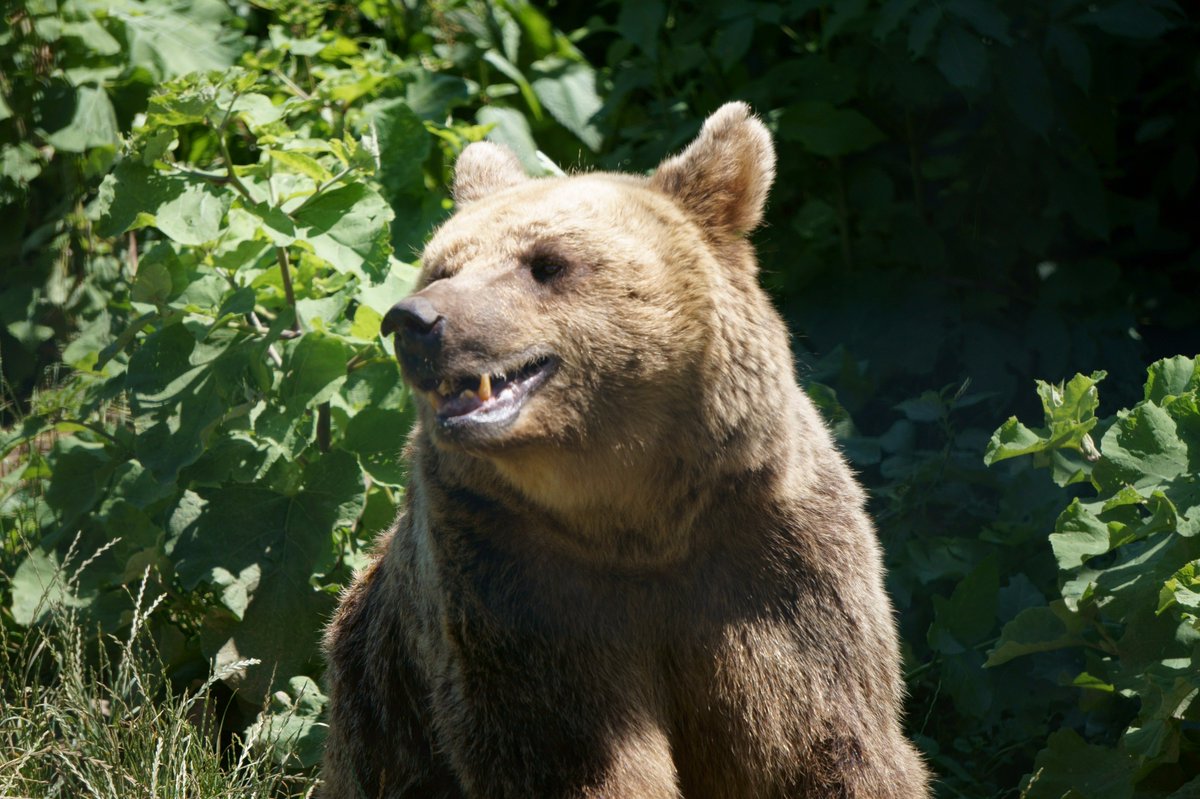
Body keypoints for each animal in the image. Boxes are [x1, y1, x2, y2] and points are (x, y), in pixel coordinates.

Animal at [319, 102, 931, 798]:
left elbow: (817, 736)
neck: (635, 521)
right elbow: (571, 750)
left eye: (546, 263)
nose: (414, 321)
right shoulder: (511, 577)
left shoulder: (771, 558)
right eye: (441, 267)